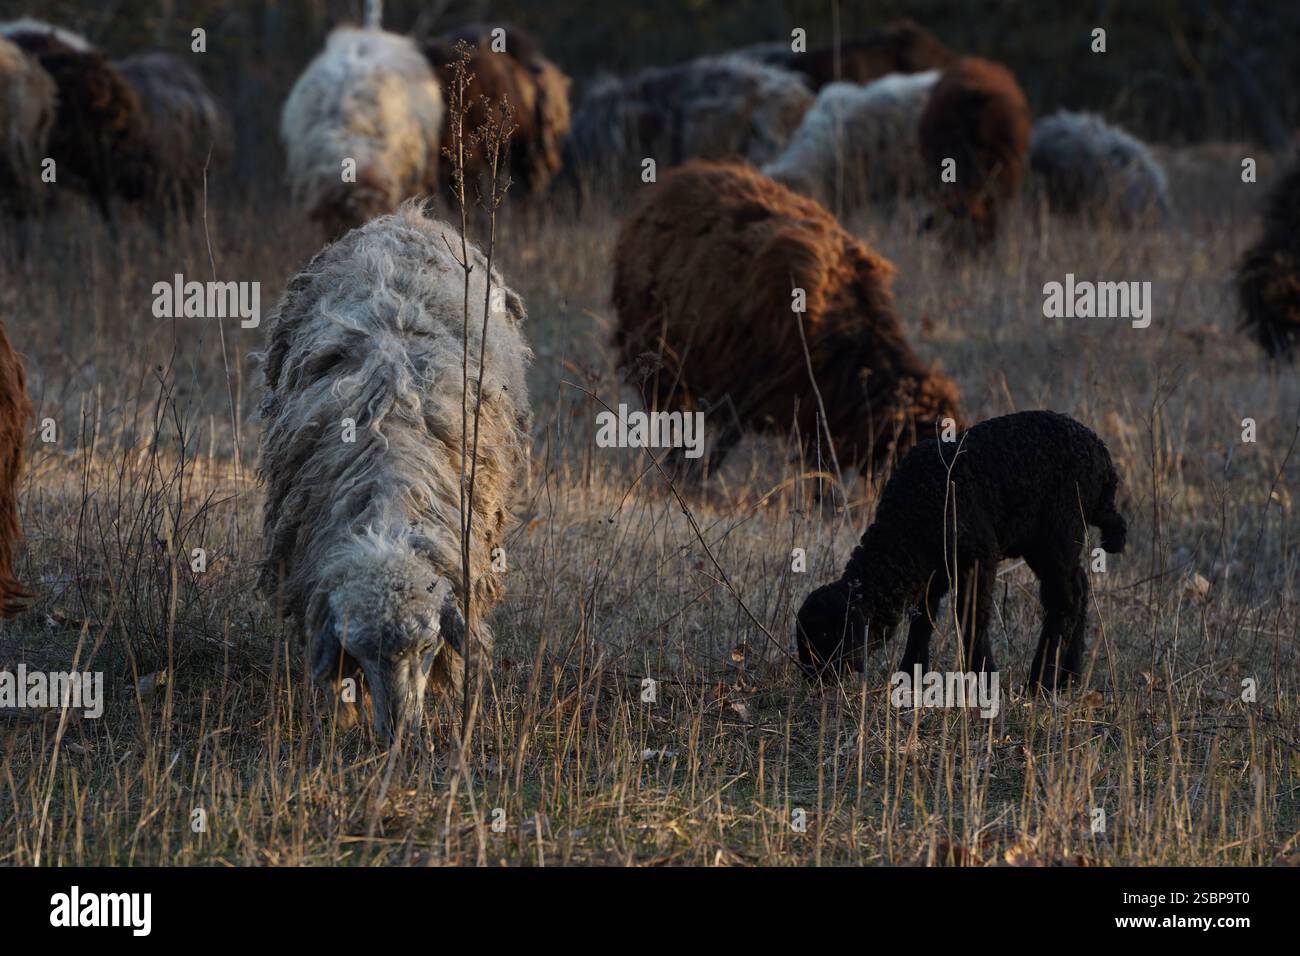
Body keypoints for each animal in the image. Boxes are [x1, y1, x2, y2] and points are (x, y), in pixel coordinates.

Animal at [612, 159, 963, 476]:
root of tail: (682, 174)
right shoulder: (753, 380)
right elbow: (728, 434)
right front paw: (694, 479)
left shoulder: (812, 402)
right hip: (658, 348)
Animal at [796, 410, 1127, 689]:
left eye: (826, 634)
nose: (812, 678)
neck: (907, 521)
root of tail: (1103, 460)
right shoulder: (933, 569)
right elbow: (924, 617)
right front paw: (911, 675)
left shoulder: (977, 556)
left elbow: (970, 616)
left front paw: (984, 678)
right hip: (1044, 542)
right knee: (1080, 586)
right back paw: (1069, 676)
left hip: (1060, 529)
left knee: (1065, 598)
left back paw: (1041, 682)